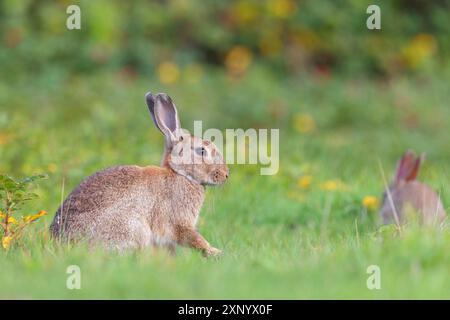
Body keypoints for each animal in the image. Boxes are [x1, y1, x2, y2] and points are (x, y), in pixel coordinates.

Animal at [50, 91, 229, 256]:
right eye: (201, 151)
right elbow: (192, 237)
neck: (180, 174)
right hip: (133, 227)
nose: (226, 174)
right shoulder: (178, 221)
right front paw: (215, 252)